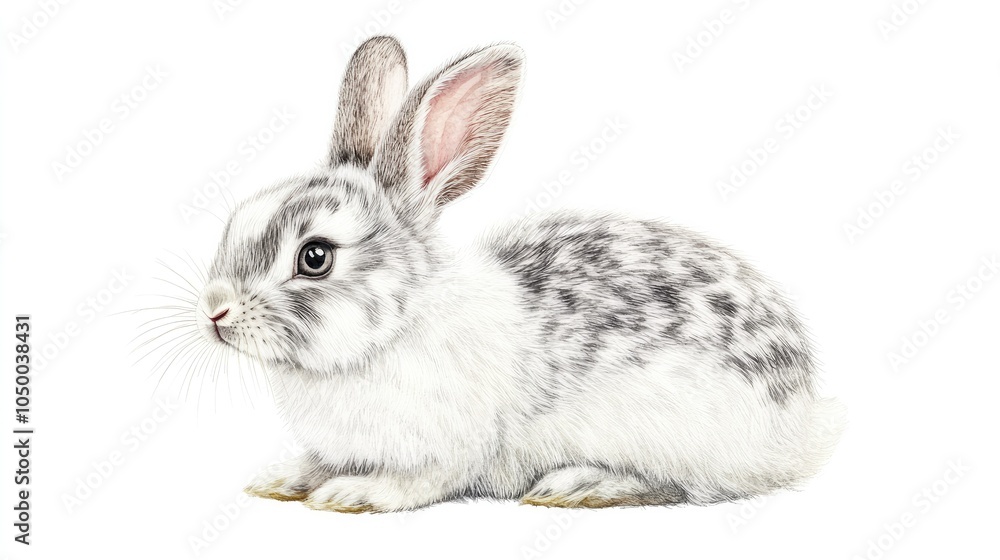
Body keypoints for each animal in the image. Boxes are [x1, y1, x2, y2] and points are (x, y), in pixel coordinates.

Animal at [195, 35, 844, 512]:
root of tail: (806, 421)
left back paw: (579, 485)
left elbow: (420, 481)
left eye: (315, 257)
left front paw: (354, 493)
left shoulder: (450, 448)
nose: (215, 312)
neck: (390, 330)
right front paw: (281, 479)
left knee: (683, 486)